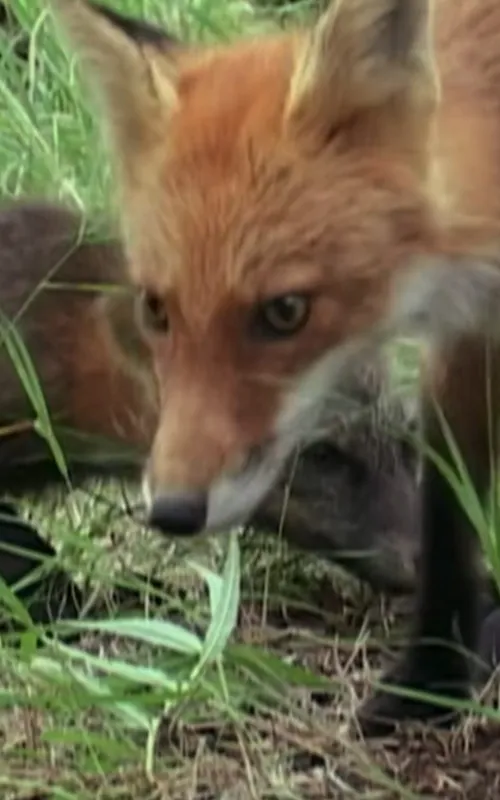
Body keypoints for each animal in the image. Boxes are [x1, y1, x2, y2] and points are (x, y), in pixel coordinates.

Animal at [43, 0, 500, 735]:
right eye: (155, 308)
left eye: (286, 312)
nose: (171, 511)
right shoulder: (465, 334)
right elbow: (448, 512)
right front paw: (430, 683)